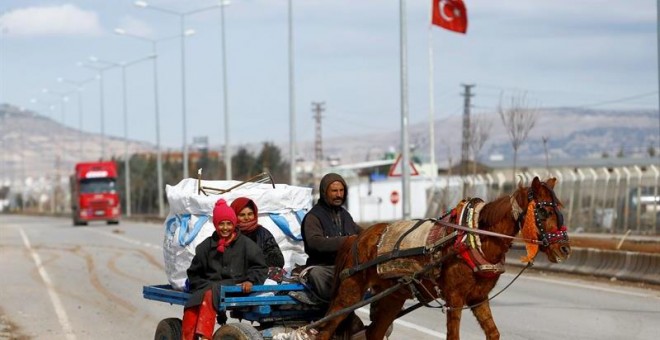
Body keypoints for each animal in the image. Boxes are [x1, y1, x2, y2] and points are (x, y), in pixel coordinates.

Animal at [306, 178, 568, 340]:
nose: (564, 248)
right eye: (544, 211)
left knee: (374, 333)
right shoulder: (454, 297)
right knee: (324, 331)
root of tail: (357, 237)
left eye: (560, 208)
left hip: (392, 296)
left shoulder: (478, 298)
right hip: (349, 293)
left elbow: (493, 333)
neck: (474, 236)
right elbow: (454, 336)